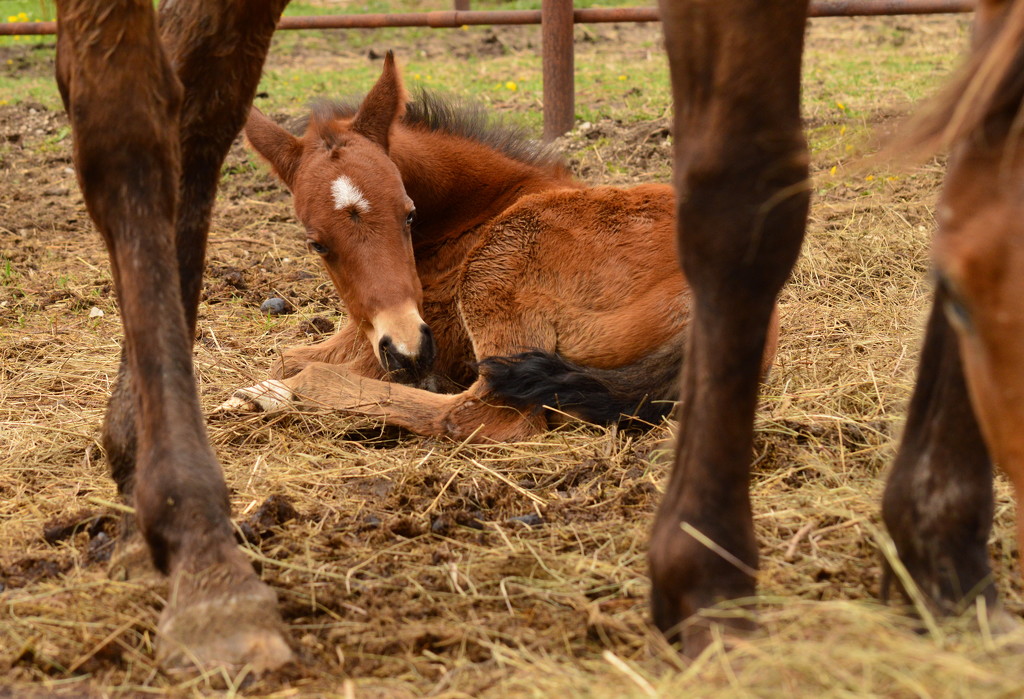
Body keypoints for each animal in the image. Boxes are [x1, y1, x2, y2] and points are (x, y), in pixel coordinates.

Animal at [228, 54, 778, 440]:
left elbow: (298, 364)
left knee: (477, 417)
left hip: (499, 266)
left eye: (409, 213)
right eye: (316, 244)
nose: (409, 351)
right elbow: (287, 355)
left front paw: (267, 391)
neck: (474, 209)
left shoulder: (419, 332)